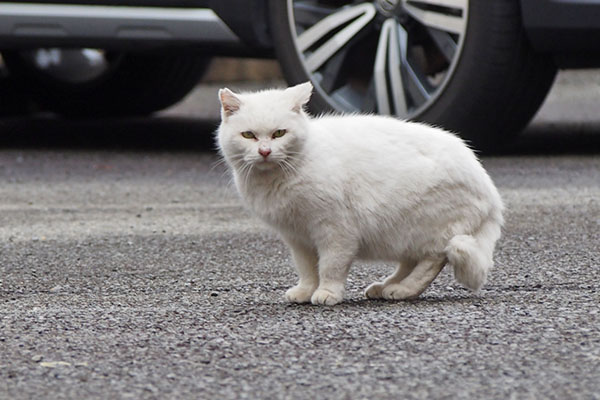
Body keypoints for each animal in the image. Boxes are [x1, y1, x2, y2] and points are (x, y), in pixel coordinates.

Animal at [216, 83, 502, 304]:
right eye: (248, 135)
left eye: (279, 133)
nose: (265, 151)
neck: (275, 180)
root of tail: (491, 192)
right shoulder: (297, 237)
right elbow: (307, 269)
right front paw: (305, 291)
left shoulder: (335, 231)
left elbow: (330, 266)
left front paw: (327, 293)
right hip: (401, 233)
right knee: (410, 262)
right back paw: (385, 287)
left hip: (424, 227)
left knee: (433, 260)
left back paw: (402, 290)